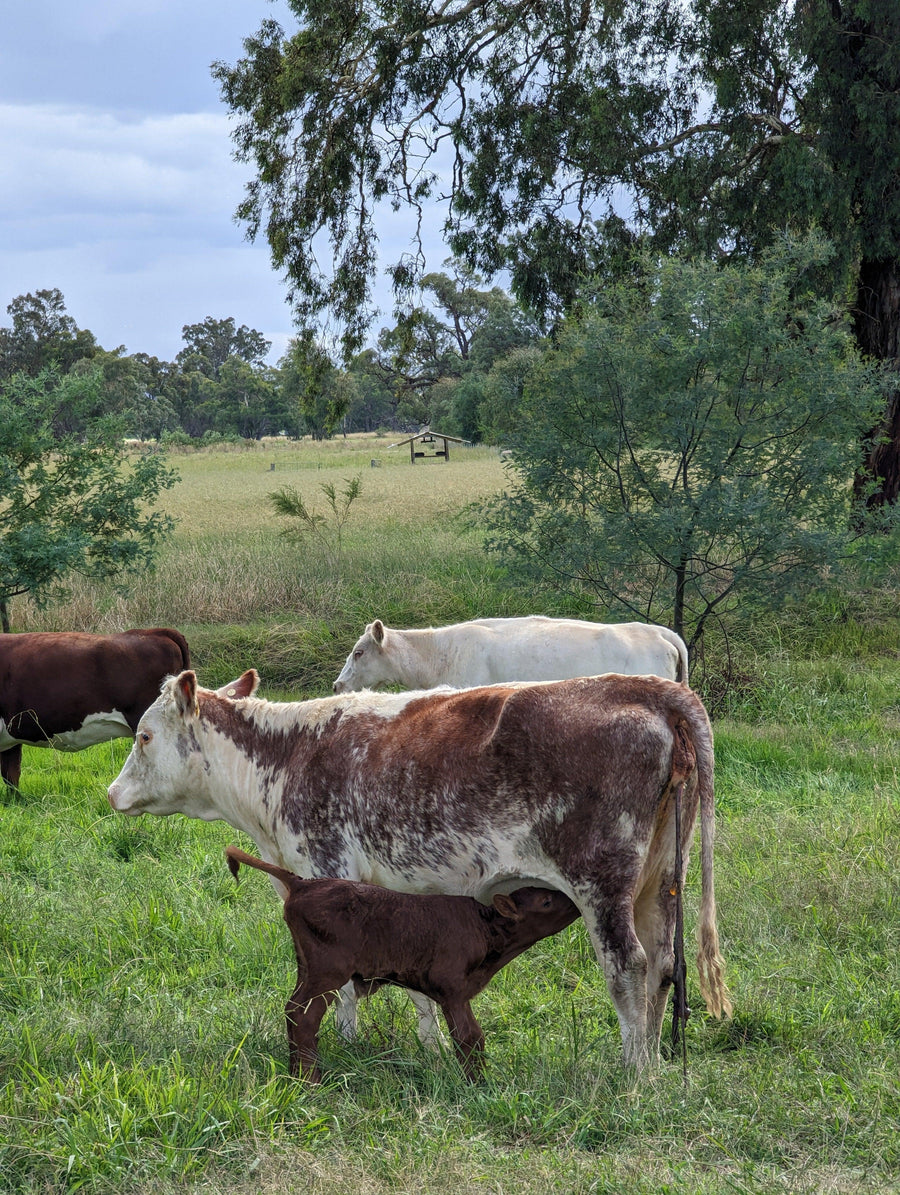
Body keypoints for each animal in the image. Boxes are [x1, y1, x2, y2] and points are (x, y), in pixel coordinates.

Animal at [226, 845, 580, 1081]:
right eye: (546, 900)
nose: (575, 901)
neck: (485, 927)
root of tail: (304, 882)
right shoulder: (453, 989)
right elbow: (470, 1037)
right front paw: (478, 1083)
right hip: (328, 971)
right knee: (304, 1015)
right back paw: (309, 1080)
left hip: (308, 968)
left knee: (293, 1010)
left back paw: (298, 1073)